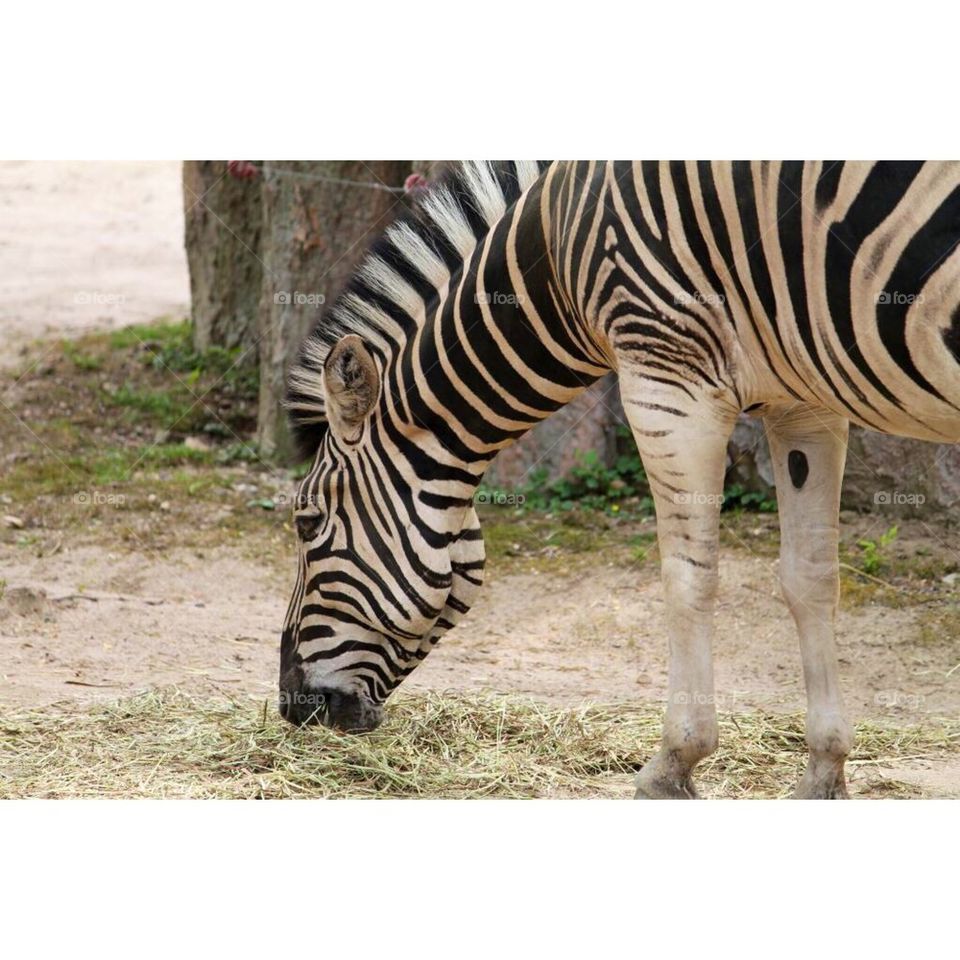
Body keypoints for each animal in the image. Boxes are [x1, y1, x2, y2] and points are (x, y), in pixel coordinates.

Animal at [279, 161, 960, 799]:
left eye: (307, 522)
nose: (292, 705)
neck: (555, 252)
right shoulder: (805, 403)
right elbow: (810, 578)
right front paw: (824, 770)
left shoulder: (669, 380)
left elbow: (687, 577)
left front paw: (673, 764)